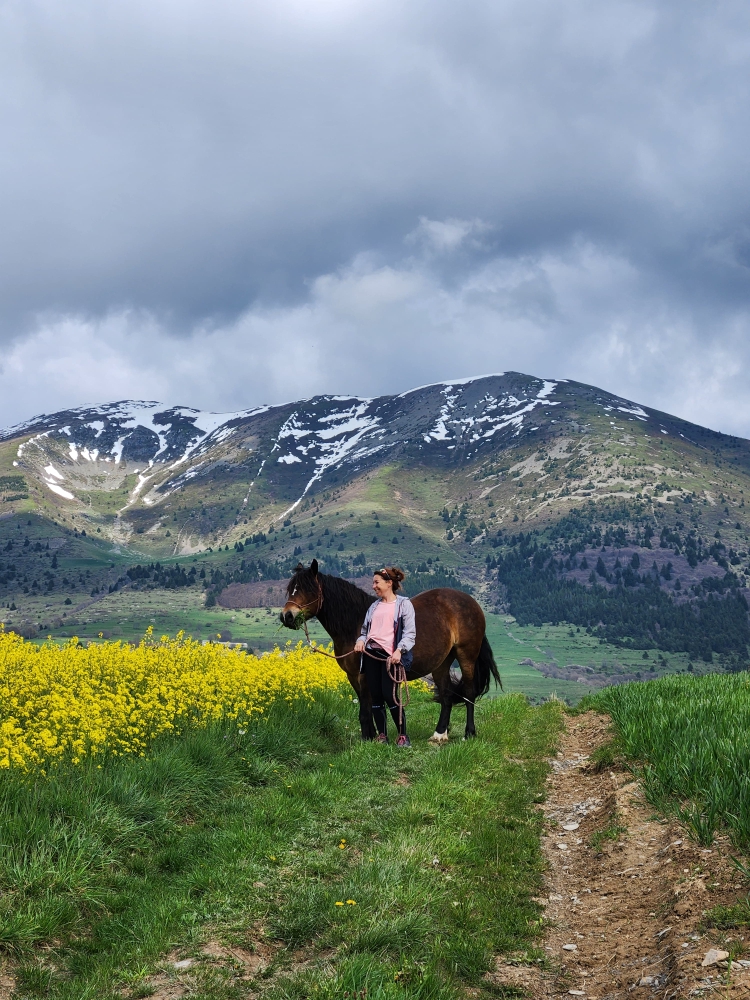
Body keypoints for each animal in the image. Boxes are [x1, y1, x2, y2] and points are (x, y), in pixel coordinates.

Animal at [280, 560, 501, 741]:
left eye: (308, 589)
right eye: (291, 589)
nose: (287, 616)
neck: (354, 624)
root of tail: (471, 602)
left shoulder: (364, 675)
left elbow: (366, 709)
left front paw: (368, 740)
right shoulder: (354, 676)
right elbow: (368, 708)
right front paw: (371, 737)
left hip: (466, 655)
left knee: (469, 692)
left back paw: (469, 733)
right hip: (442, 662)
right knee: (446, 694)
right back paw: (439, 734)